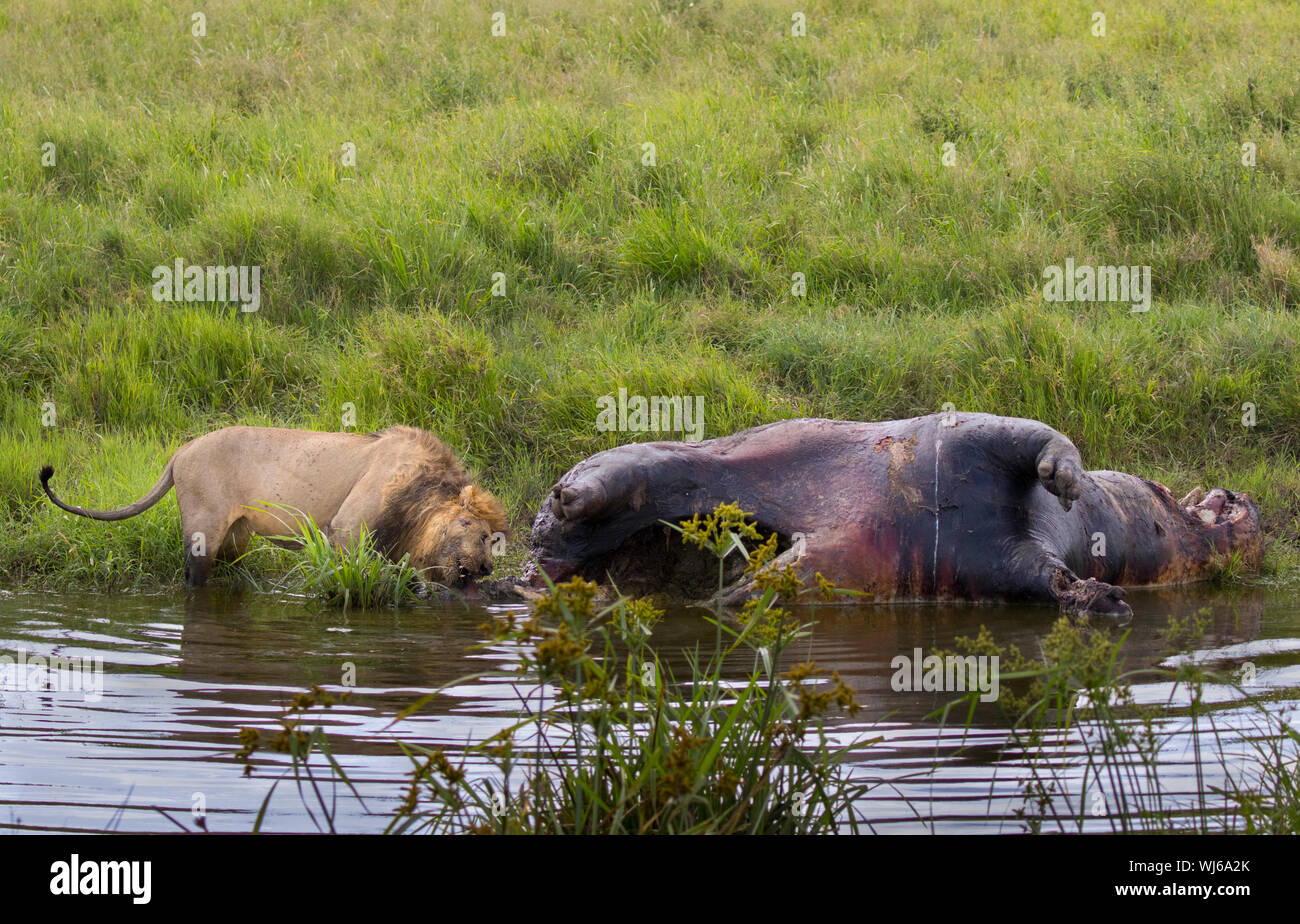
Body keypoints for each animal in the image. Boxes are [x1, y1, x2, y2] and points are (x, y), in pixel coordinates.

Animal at [40, 423, 506, 584]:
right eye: (476, 532)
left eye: (493, 542)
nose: (485, 569)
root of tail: (182, 449)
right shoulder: (346, 529)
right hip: (203, 528)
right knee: (194, 576)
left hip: (236, 536)